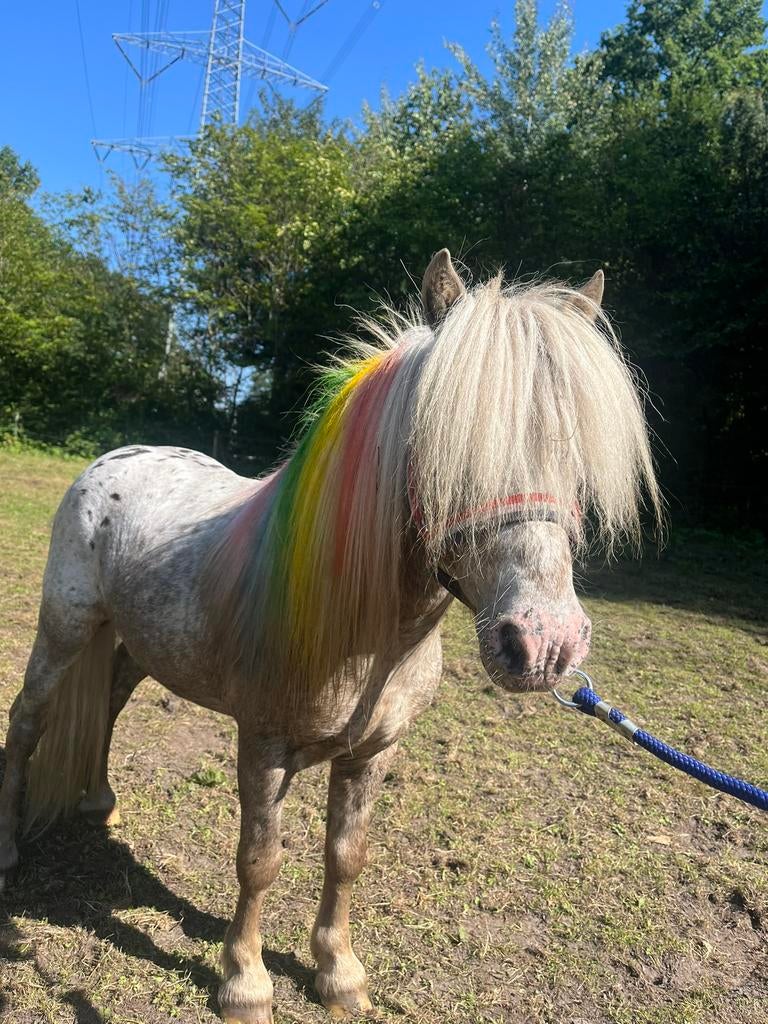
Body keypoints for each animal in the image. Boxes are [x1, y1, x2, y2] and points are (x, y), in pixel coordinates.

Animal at [0, 250, 659, 1023]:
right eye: (446, 451)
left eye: (576, 453)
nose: (545, 645)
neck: (370, 639)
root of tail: (118, 459)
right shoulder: (262, 747)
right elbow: (259, 861)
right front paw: (244, 983)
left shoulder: (372, 752)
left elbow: (346, 856)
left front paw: (338, 974)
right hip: (65, 629)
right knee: (28, 721)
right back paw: (8, 852)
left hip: (134, 642)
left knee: (106, 701)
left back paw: (97, 801)